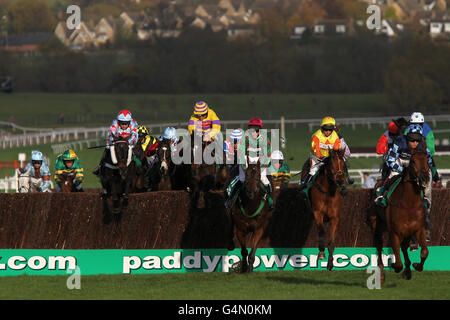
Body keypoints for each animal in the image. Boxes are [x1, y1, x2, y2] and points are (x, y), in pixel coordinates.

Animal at [368, 145, 430, 282]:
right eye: (413, 161)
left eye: (427, 161)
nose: (425, 179)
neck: (409, 204)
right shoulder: (394, 232)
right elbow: (398, 262)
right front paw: (394, 265)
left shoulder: (419, 229)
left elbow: (424, 252)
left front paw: (416, 266)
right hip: (377, 224)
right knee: (379, 245)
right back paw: (381, 274)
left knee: (404, 246)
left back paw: (407, 270)